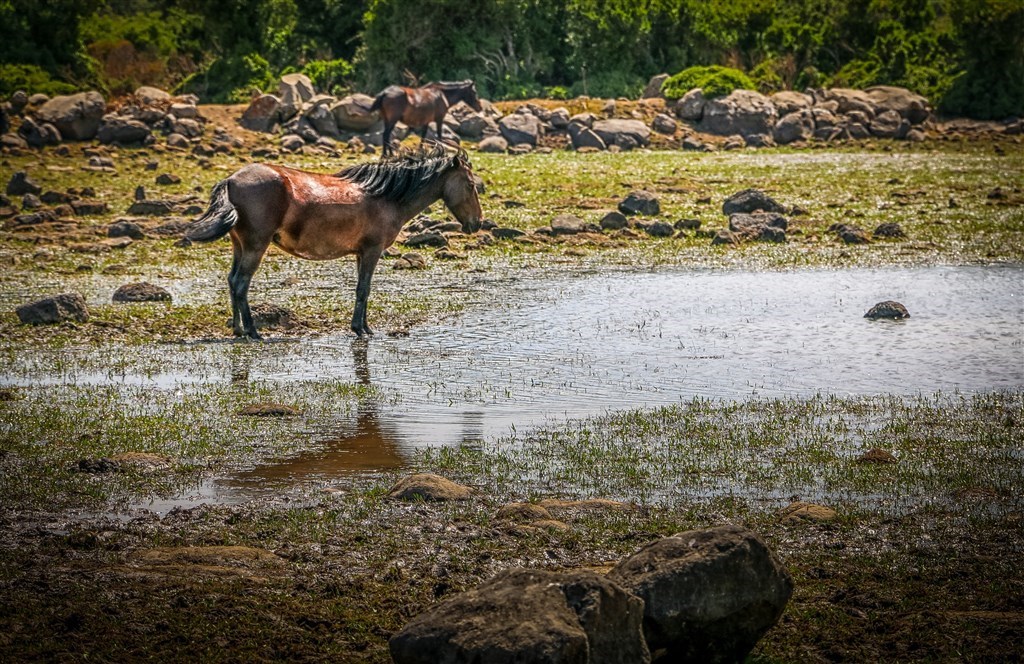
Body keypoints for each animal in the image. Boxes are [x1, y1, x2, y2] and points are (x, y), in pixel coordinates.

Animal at [185, 147, 483, 340]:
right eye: (470, 185)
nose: (477, 223)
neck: (386, 196)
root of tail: (231, 180)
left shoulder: (361, 253)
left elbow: (362, 290)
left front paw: (363, 326)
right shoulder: (372, 251)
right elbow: (364, 289)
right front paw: (361, 330)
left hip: (240, 245)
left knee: (232, 280)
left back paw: (238, 329)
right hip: (256, 246)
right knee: (241, 283)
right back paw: (252, 331)